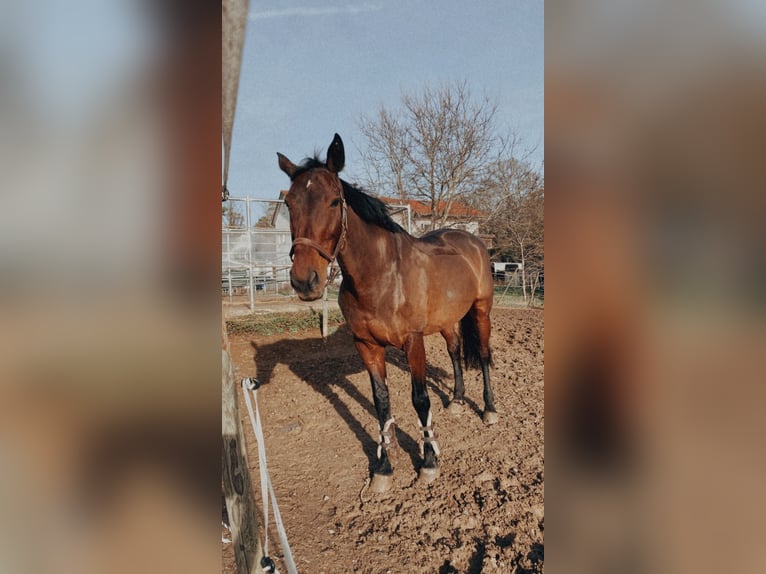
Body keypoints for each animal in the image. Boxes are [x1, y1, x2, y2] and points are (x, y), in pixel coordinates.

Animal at [278, 133, 497, 492]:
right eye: (290, 204)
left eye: (334, 202)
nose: (304, 280)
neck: (381, 276)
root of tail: (472, 240)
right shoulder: (366, 345)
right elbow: (381, 402)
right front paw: (383, 467)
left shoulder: (413, 341)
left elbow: (420, 399)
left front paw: (429, 461)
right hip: (447, 319)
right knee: (454, 350)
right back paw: (457, 400)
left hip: (481, 311)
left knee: (484, 353)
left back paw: (489, 409)